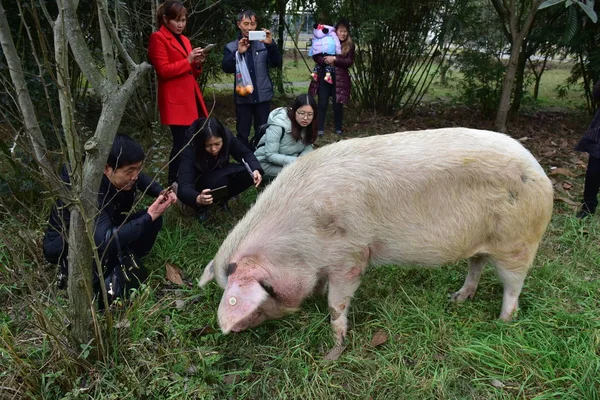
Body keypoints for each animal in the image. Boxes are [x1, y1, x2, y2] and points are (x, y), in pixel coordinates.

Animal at [200, 128, 552, 344]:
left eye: (265, 292)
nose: (233, 331)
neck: (298, 237)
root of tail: (541, 172)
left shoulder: (351, 255)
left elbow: (337, 301)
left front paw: (337, 339)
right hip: (482, 243)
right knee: (476, 265)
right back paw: (458, 298)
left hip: (518, 242)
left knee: (513, 286)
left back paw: (503, 322)